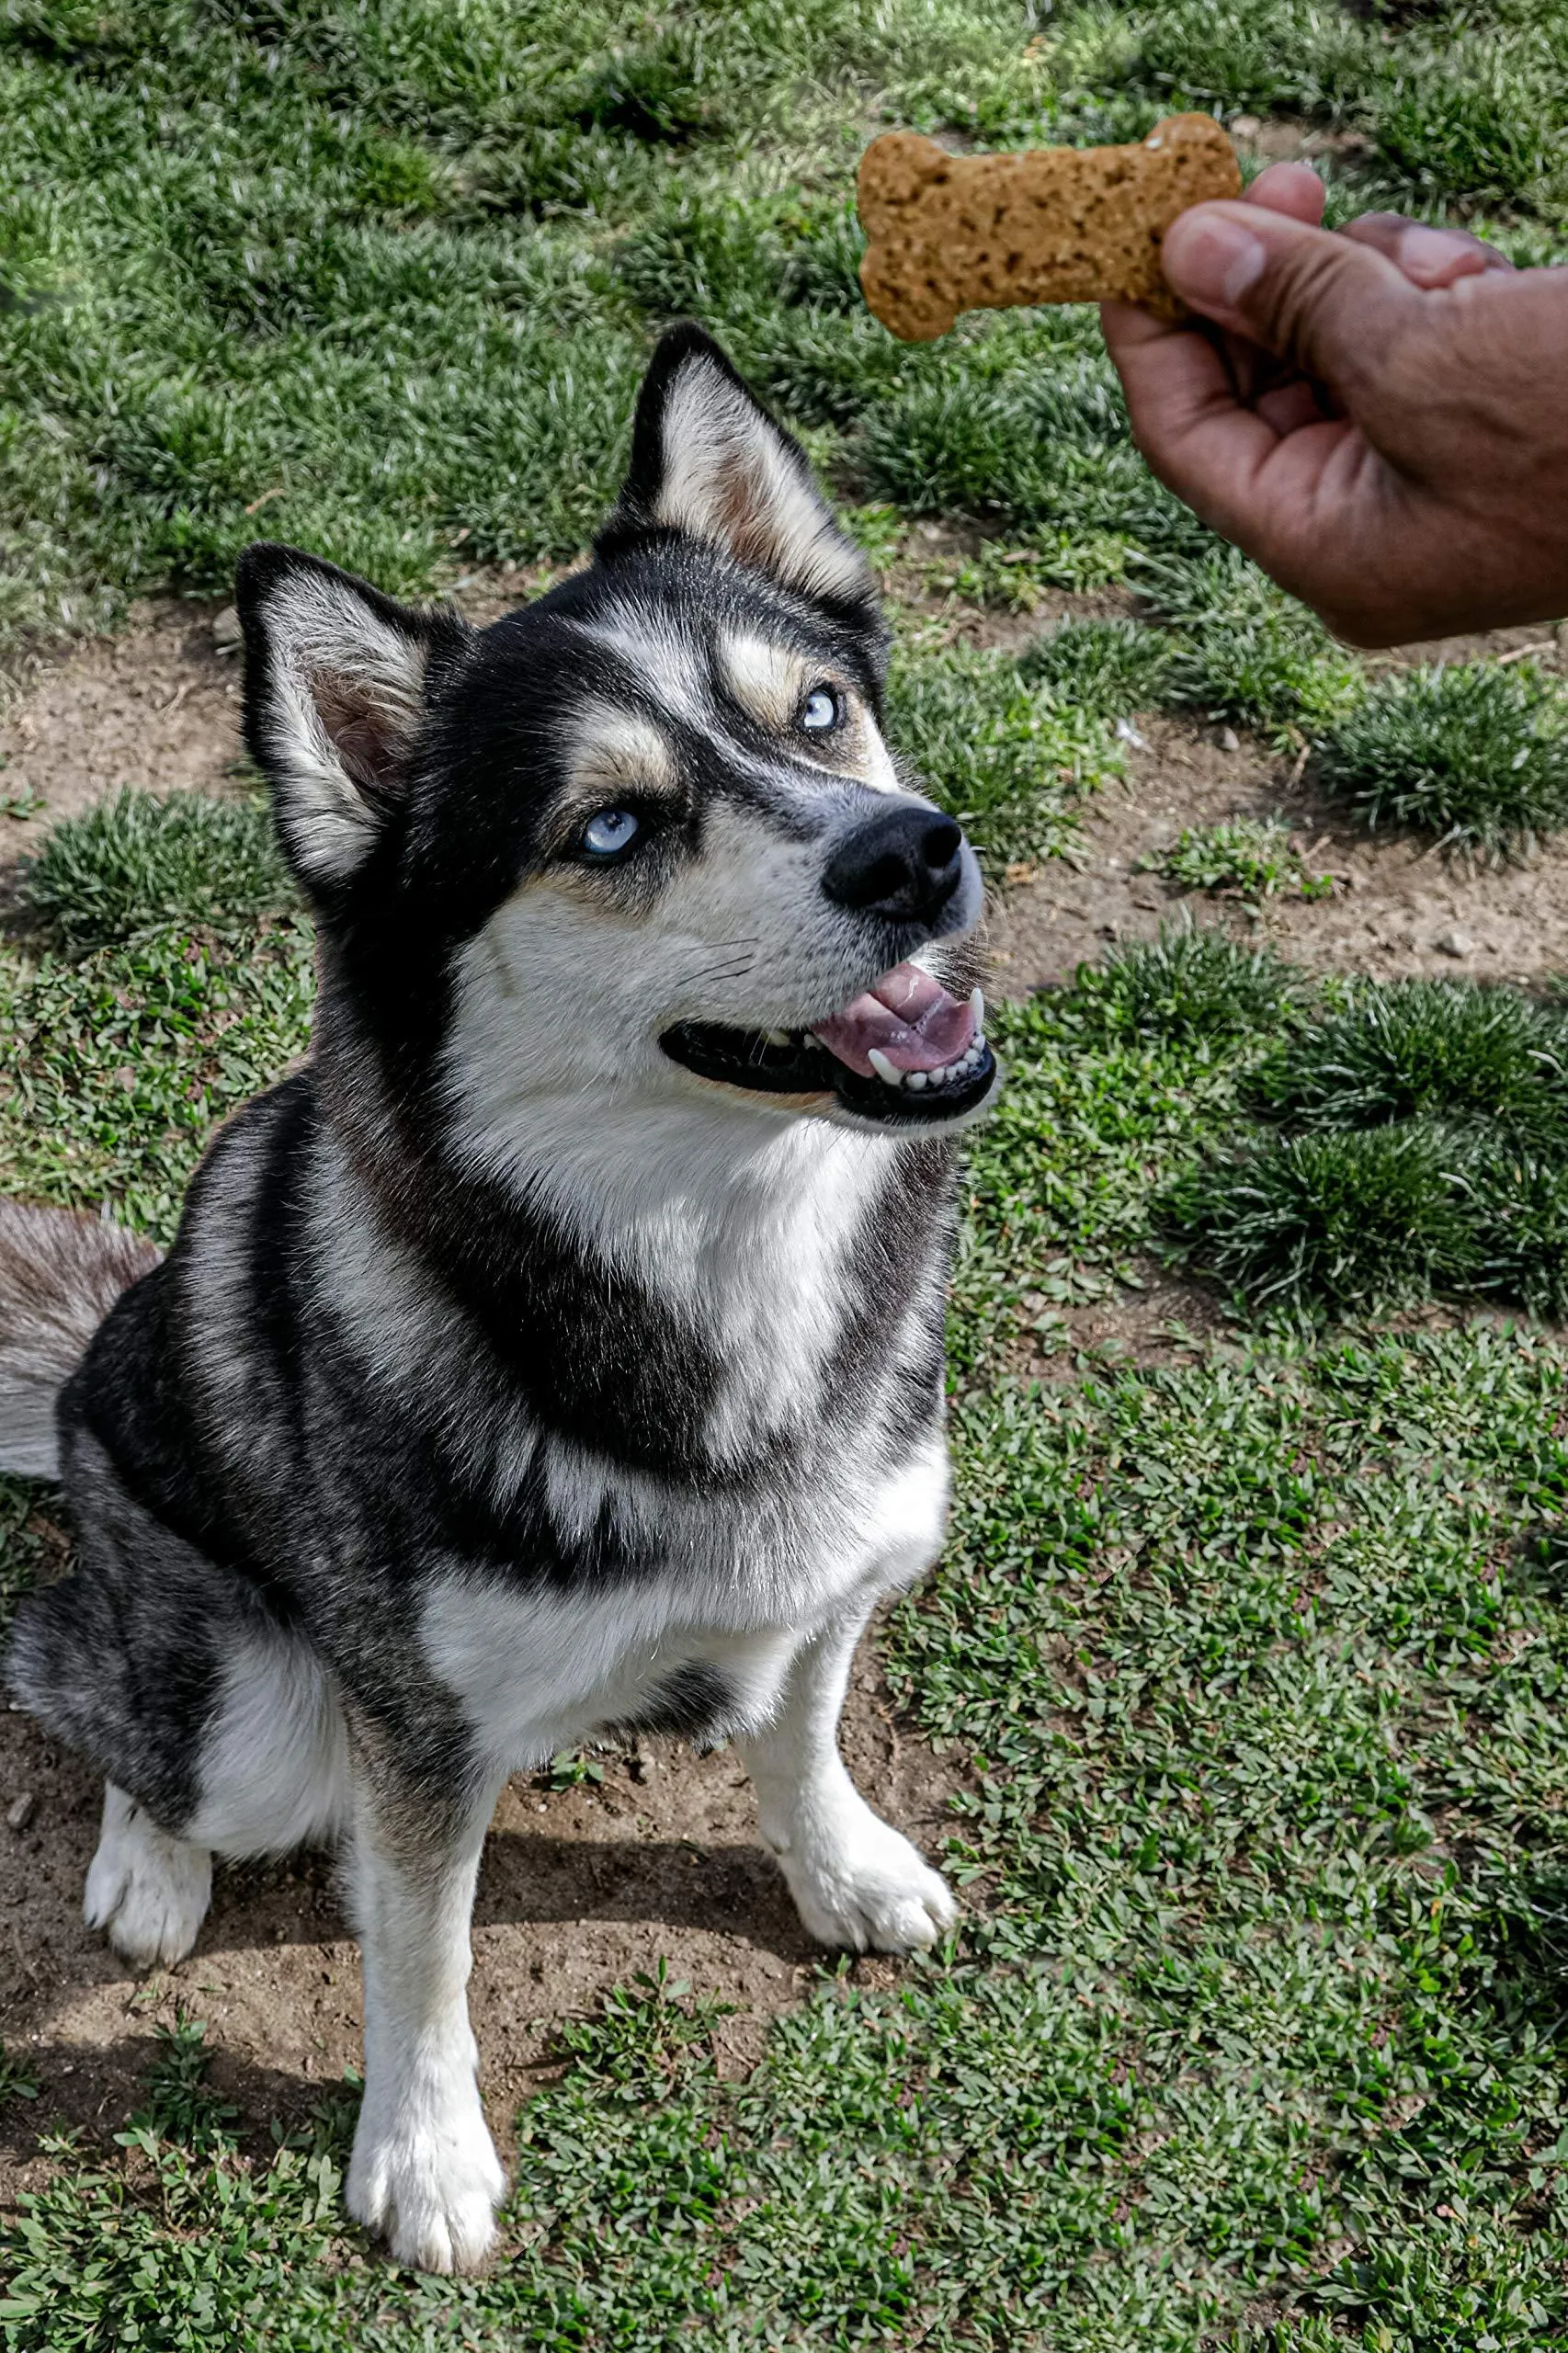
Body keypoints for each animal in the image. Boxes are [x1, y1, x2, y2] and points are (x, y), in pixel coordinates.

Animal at [3, 326, 988, 2258]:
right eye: (608, 828)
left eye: (814, 713)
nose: (911, 850)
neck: (722, 1253)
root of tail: (88, 1351)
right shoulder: (418, 1734)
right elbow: (423, 1950)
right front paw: (426, 2157)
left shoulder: (844, 1568)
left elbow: (804, 1734)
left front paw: (843, 1868)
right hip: (243, 1705)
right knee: (88, 1683)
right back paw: (145, 1861)